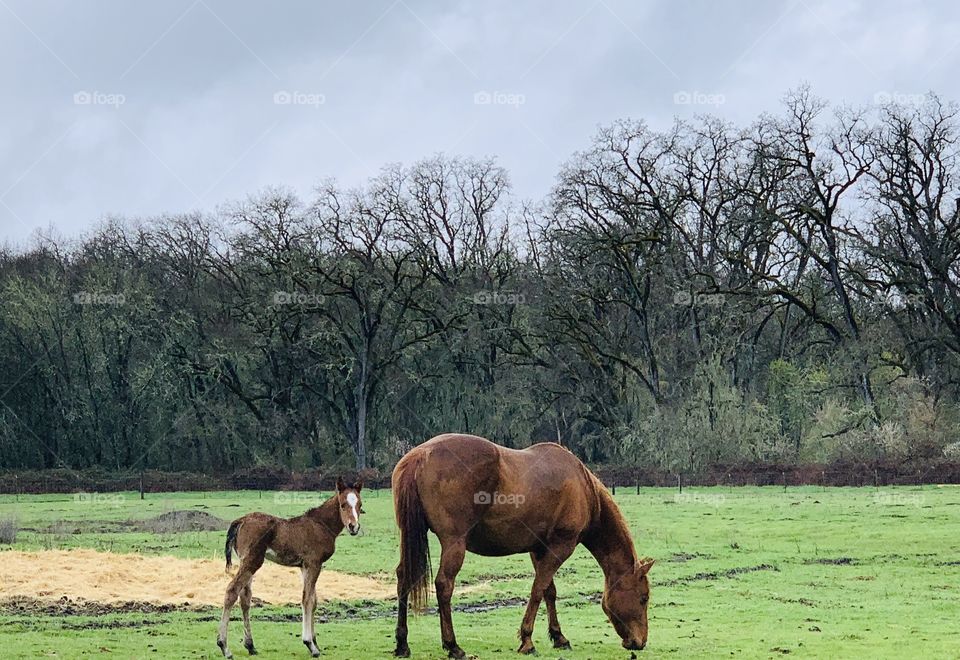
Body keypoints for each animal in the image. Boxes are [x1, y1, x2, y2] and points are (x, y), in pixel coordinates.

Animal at [216, 477, 364, 658]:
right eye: (343, 505)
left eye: (360, 505)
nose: (353, 527)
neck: (321, 524)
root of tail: (241, 520)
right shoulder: (314, 563)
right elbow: (307, 599)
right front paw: (310, 645)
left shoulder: (304, 566)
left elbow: (313, 600)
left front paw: (315, 642)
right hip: (252, 562)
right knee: (232, 591)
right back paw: (224, 647)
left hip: (246, 562)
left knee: (245, 598)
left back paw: (250, 645)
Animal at [392, 433, 655, 658]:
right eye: (643, 598)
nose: (640, 642)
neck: (583, 488)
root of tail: (419, 456)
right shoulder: (560, 547)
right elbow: (538, 590)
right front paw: (527, 641)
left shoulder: (539, 549)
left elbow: (549, 591)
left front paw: (559, 637)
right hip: (454, 543)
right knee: (444, 585)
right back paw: (453, 646)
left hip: (409, 538)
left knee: (404, 578)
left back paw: (402, 644)